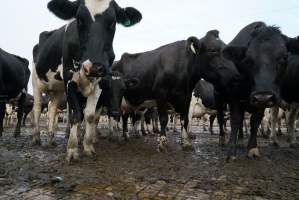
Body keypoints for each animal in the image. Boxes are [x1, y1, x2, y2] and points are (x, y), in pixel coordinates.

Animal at [47, 0, 143, 162]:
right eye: (79, 19)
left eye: (112, 22)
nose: (94, 67)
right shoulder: (69, 79)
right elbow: (76, 115)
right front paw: (72, 149)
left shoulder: (99, 82)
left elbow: (90, 116)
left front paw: (88, 147)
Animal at [111, 29, 240, 152]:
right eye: (212, 50)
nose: (236, 74)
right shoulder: (161, 94)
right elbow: (164, 119)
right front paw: (162, 143)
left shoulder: (187, 97)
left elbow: (185, 119)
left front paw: (186, 143)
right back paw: (115, 136)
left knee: (125, 117)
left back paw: (127, 135)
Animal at [217, 21, 299, 160]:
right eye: (248, 60)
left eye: (284, 57)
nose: (263, 96)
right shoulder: (234, 97)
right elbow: (235, 120)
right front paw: (231, 150)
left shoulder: (263, 103)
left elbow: (255, 121)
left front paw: (252, 148)